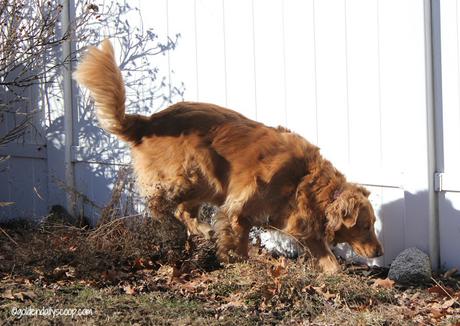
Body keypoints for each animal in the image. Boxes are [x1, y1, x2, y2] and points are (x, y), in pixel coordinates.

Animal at [75, 40, 382, 272]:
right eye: (365, 225)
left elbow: (325, 255)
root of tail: (146, 122)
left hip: (208, 183)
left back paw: (203, 230)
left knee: (183, 211)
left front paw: (333, 274)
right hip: (187, 175)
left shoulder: (296, 220)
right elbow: (239, 239)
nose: (379, 252)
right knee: (159, 203)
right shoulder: (240, 208)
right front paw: (241, 264)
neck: (303, 179)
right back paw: (174, 223)